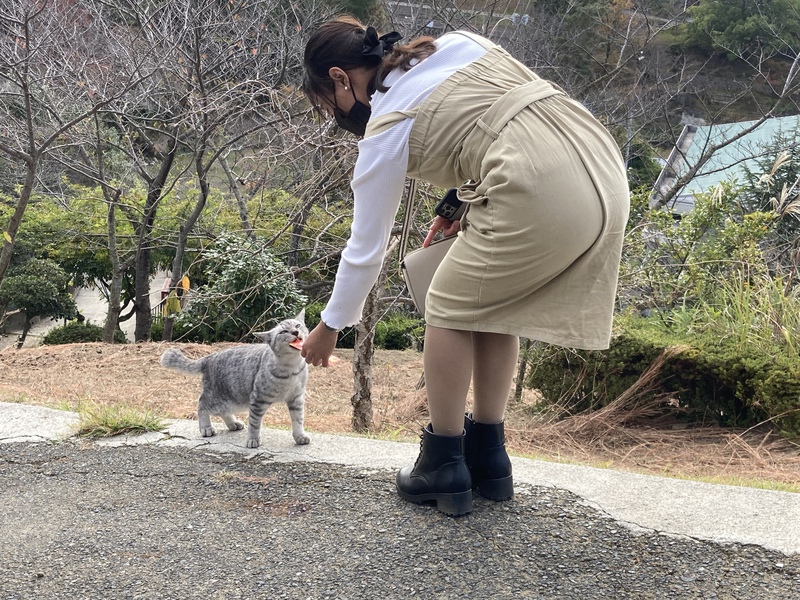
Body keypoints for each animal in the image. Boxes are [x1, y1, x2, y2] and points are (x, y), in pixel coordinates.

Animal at [161, 314, 310, 446]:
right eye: (283, 332)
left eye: (297, 325)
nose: (295, 332)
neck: (292, 368)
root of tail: (209, 358)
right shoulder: (258, 400)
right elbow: (254, 423)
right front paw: (253, 439)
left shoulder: (296, 399)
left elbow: (298, 420)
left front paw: (300, 436)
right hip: (221, 399)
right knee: (201, 405)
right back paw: (206, 427)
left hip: (232, 401)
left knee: (222, 411)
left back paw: (233, 423)